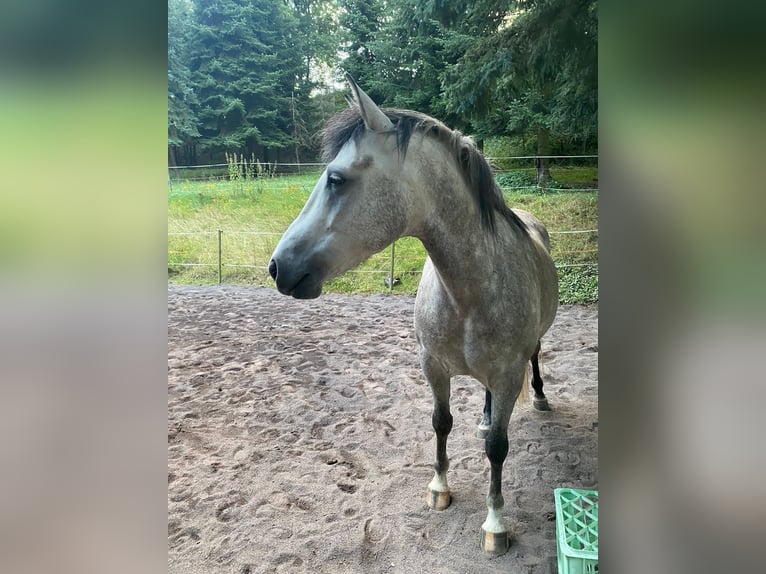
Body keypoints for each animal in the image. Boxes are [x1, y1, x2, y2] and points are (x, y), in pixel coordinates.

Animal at [269, 74, 558, 555]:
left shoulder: (506, 375)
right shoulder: (433, 365)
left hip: (528, 353)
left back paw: (538, 397)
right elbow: (441, 424)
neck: (468, 294)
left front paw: (495, 524)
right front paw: (439, 487)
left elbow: (499, 449)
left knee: (535, 361)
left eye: (335, 178)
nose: (278, 267)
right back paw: (483, 420)